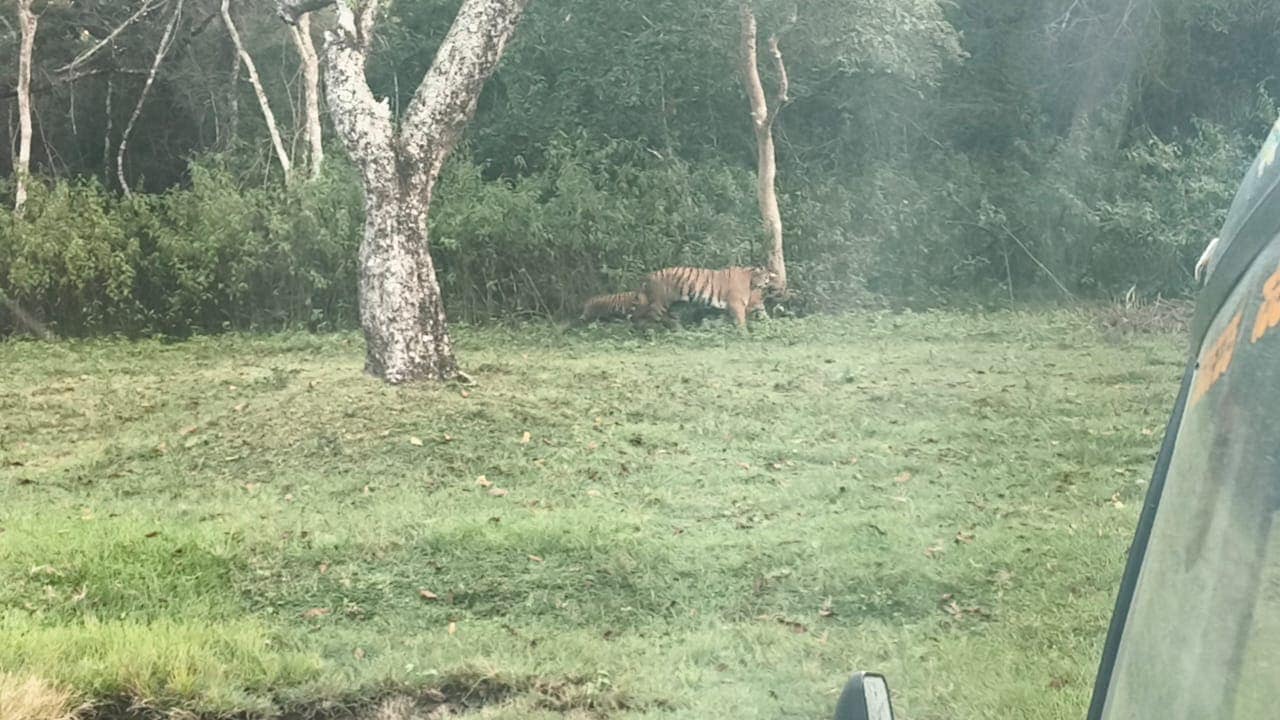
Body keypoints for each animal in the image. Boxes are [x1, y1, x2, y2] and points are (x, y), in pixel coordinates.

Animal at [639, 266, 774, 328]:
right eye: (765, 277)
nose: (768, 282)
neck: (751, 281)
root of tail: (649, 276)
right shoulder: (736, 304)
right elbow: (741, 322)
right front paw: (744, 335)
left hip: (674, 305)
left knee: (669, 318)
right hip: (659, 303)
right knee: (648, 319)